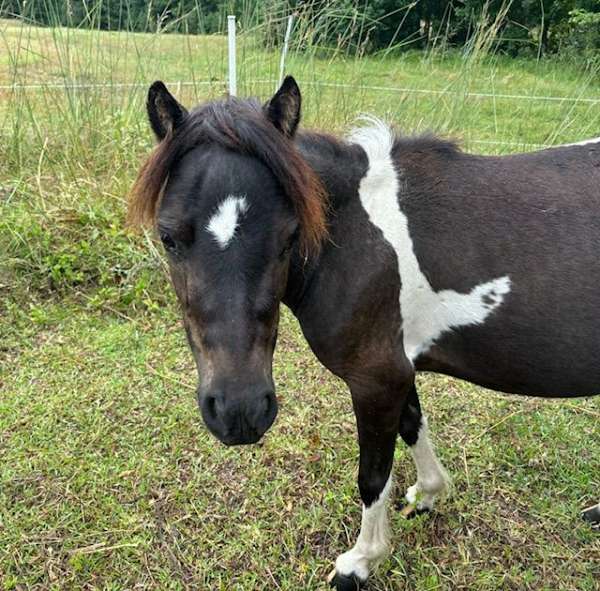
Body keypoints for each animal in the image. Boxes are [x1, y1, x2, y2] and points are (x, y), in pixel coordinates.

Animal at [131, 78, 600, 591]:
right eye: (169, 238)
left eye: (289, 236)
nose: (240, 412)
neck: (356, 236)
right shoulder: (397, 368)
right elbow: (413, 426)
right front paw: (428, 495)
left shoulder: (376, 379)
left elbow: (373, 476)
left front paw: (360, 562)